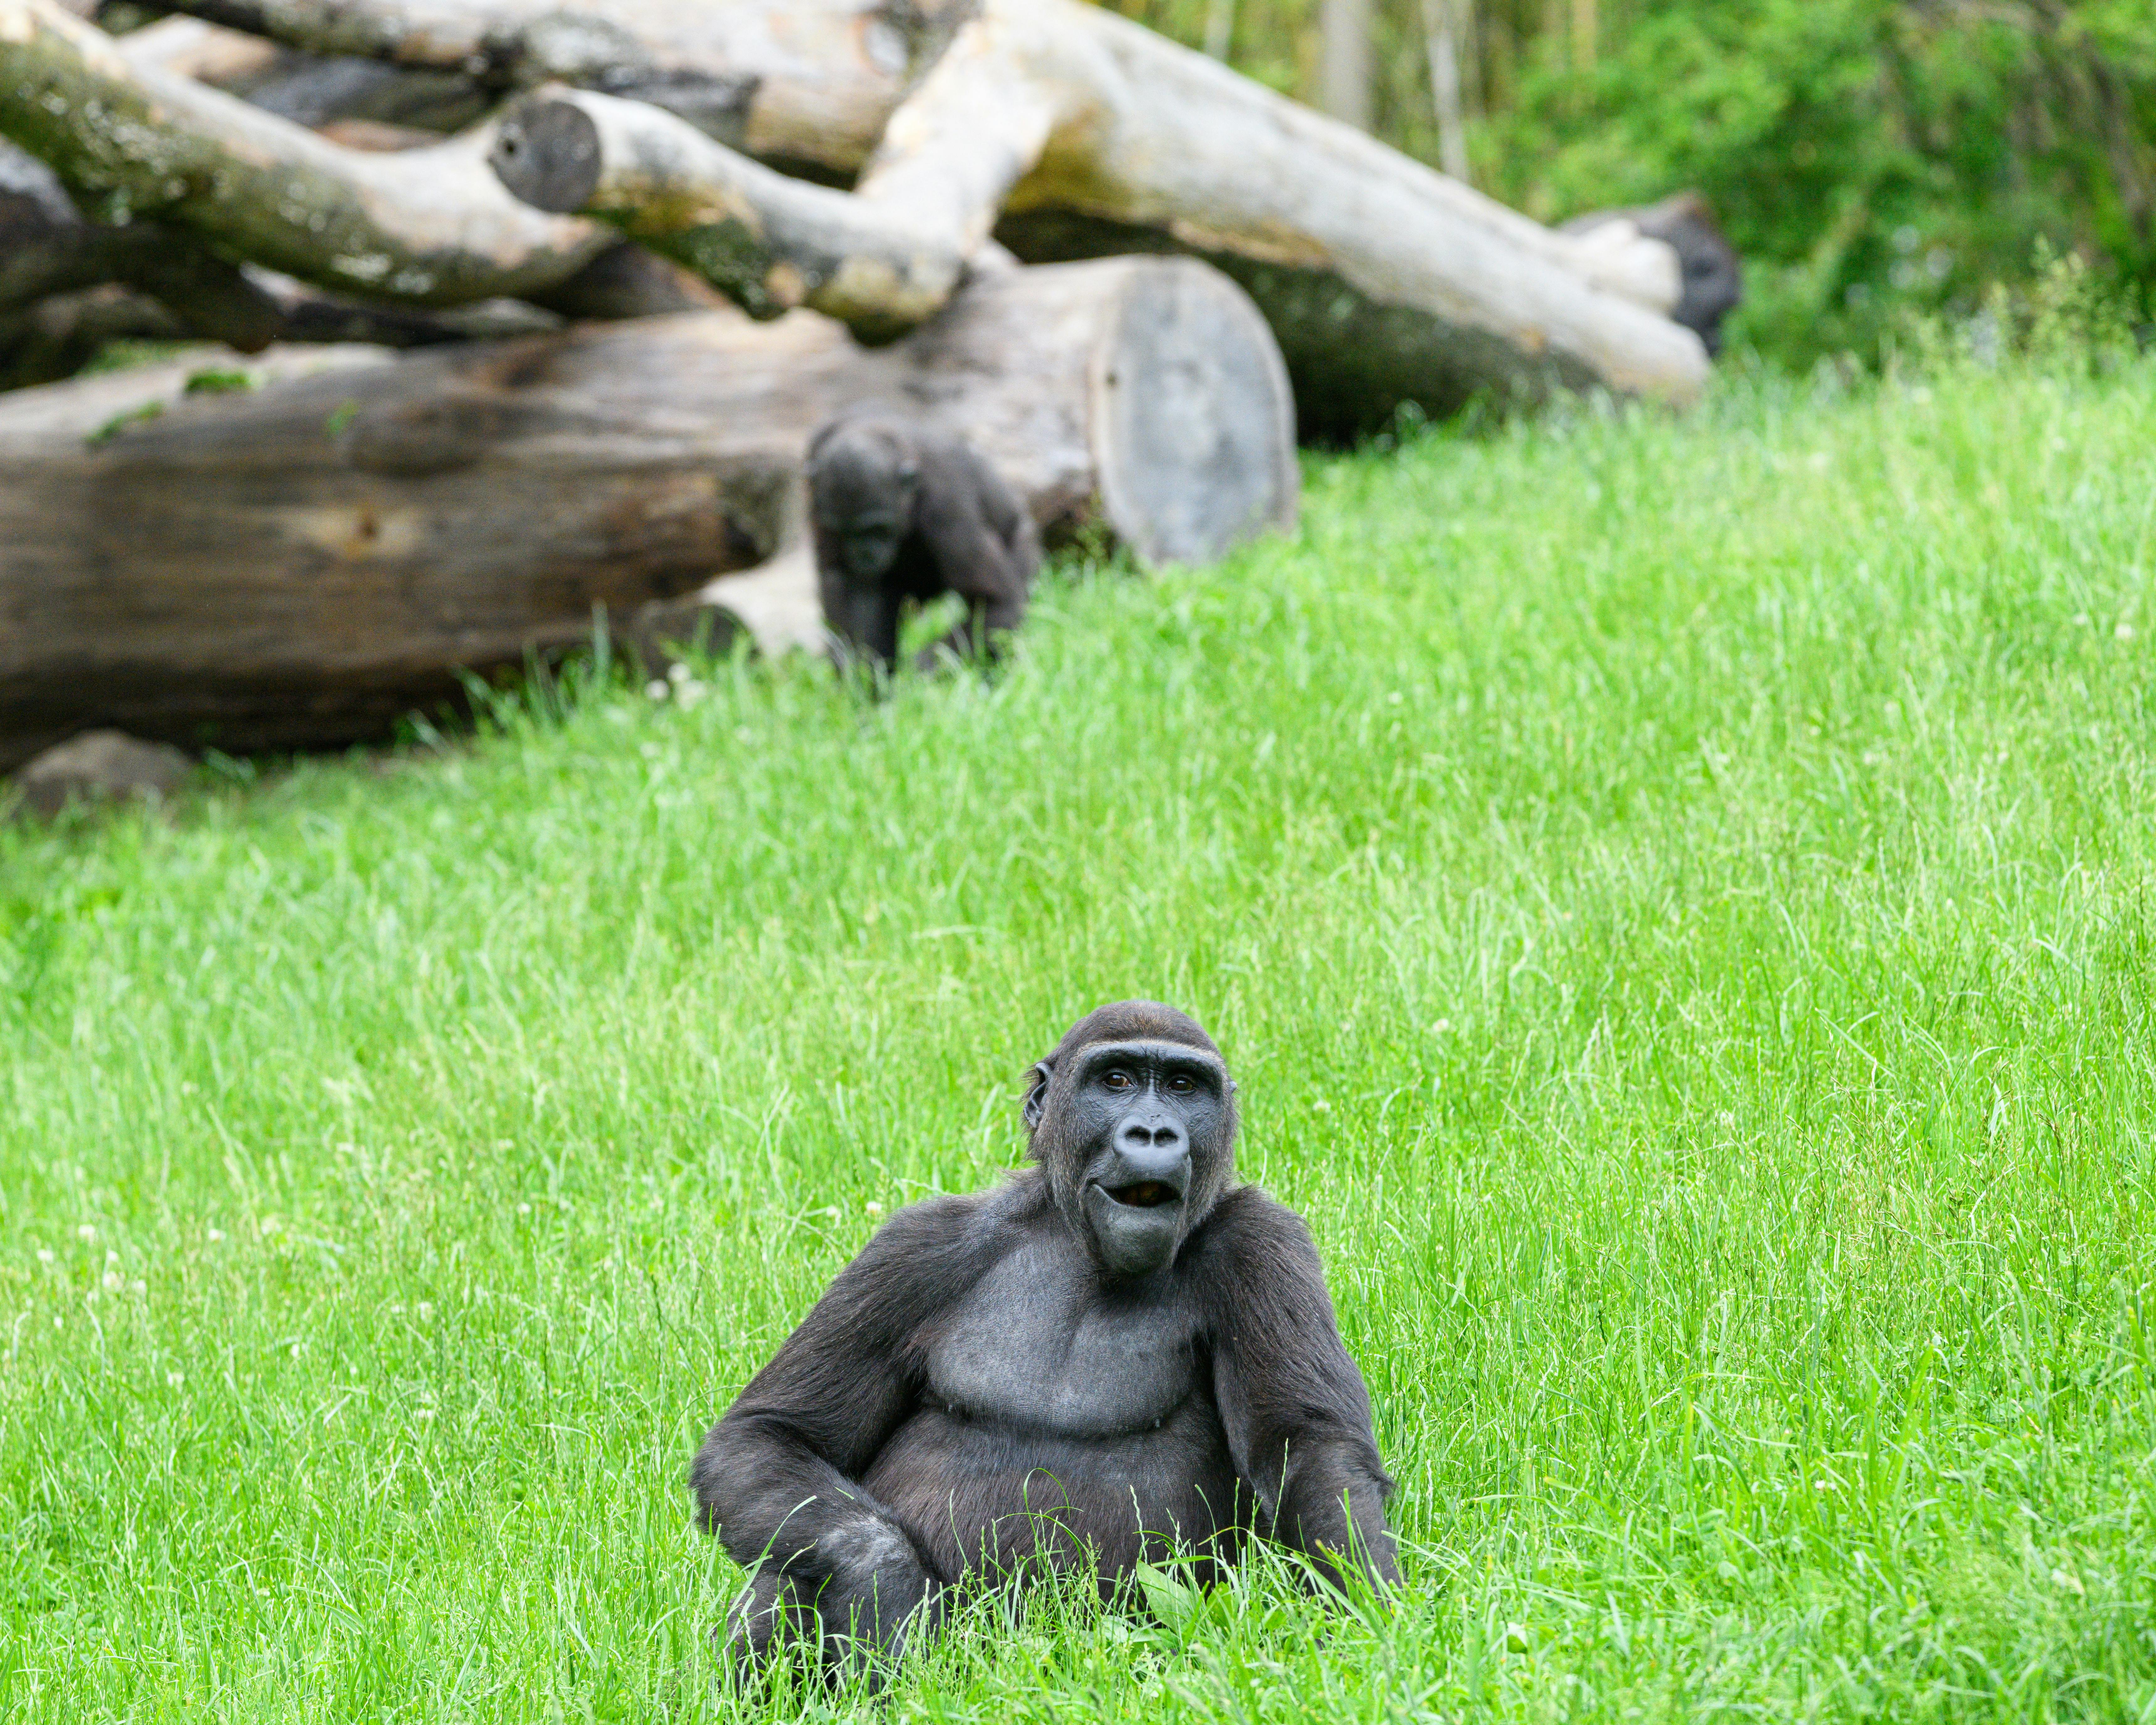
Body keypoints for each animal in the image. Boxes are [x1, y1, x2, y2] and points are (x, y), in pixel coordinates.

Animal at [690, 1000, 1397, 1686]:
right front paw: (881, 1579)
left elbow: (1308, 1453)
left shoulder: (1265, 1242)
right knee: (798, 1552)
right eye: (1116, 1081)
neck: (1079, 1245)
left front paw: (1366, 1629)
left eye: (1182, 1086)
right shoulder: (913, 1246)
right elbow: (772, 1433)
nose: (1152, 1132)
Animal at [805, 406, 1041, 673]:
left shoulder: (946, 506)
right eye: (842, 531)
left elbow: (994, 601)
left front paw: (923, 666)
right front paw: (858, 671)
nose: (864, 554)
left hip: (1024, 543)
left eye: (877, 529)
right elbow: (839, 578)